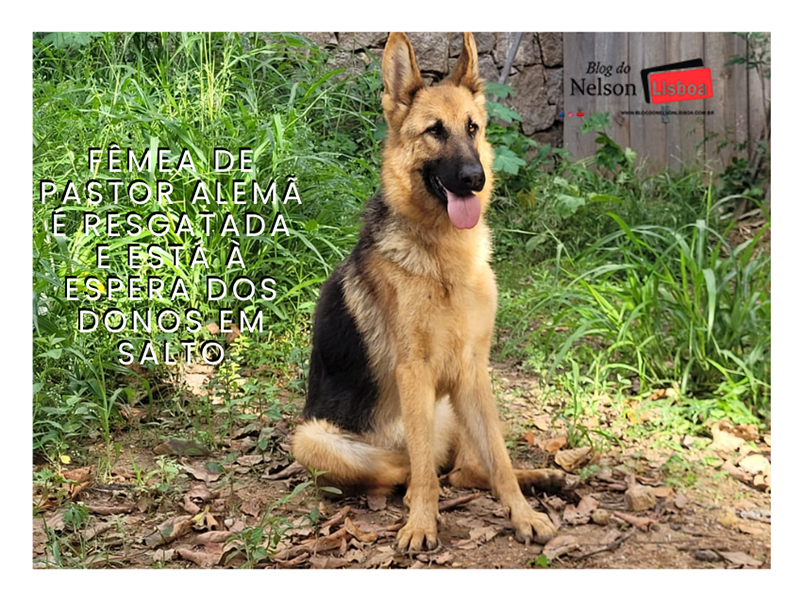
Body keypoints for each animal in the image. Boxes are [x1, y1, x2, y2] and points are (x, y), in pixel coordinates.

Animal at [292, 34, 564, 556]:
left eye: (473, 128)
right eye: (435, 131)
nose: (474, 179)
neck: (441, 256)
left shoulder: (474, 369)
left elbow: (498, 459)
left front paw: (522, 514)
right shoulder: (414, 371)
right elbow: (423, 468)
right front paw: (421, 521)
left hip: (455, 404)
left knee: (468, 468)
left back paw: (540, 479)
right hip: (314, 438)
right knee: (418, 466)